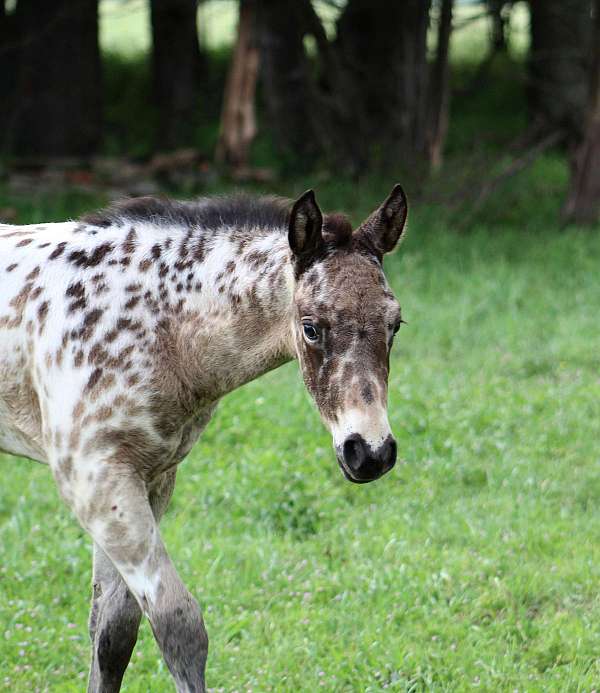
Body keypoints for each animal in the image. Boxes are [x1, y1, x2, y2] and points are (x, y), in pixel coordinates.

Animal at [0, 185, 408, 692]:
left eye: (395, 324)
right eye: (311, 327)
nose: (369, 452)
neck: (150, 324)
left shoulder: (150, 477)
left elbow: (113, 631)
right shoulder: (93, 478)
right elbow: (178, 623)